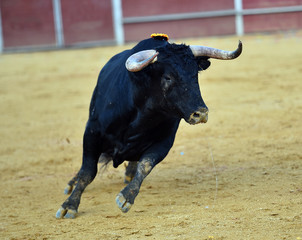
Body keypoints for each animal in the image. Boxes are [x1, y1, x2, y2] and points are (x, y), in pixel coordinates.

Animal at [55, 34, 242, 219]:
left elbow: (145, 165)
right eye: (168, 77)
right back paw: (72, 183)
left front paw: (126, 197)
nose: (201, 113)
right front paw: (69, 206)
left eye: (195, 75)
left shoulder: (164, 142)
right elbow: (88, 171)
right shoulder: (92, 132)